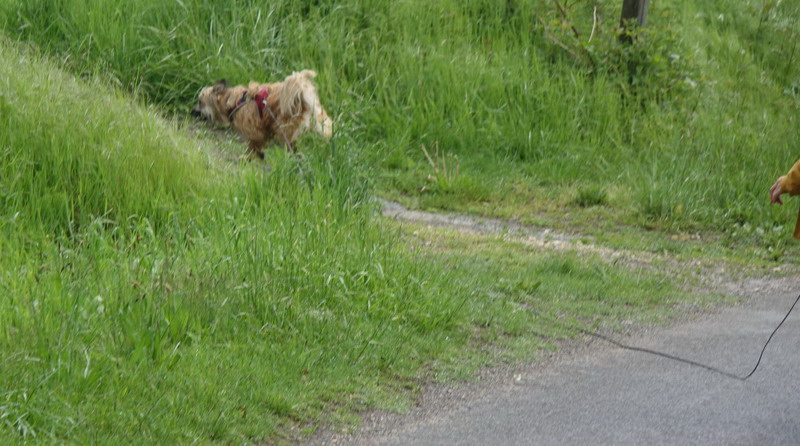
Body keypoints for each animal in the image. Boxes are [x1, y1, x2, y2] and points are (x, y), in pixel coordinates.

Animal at [191, 70, 333, 159]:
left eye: (200, 102)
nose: (191, 111)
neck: (235, 102)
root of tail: (304, 96)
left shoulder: (255, 132)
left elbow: (253, 146)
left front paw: (248, 157)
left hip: (283, 127)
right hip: (320, 123)